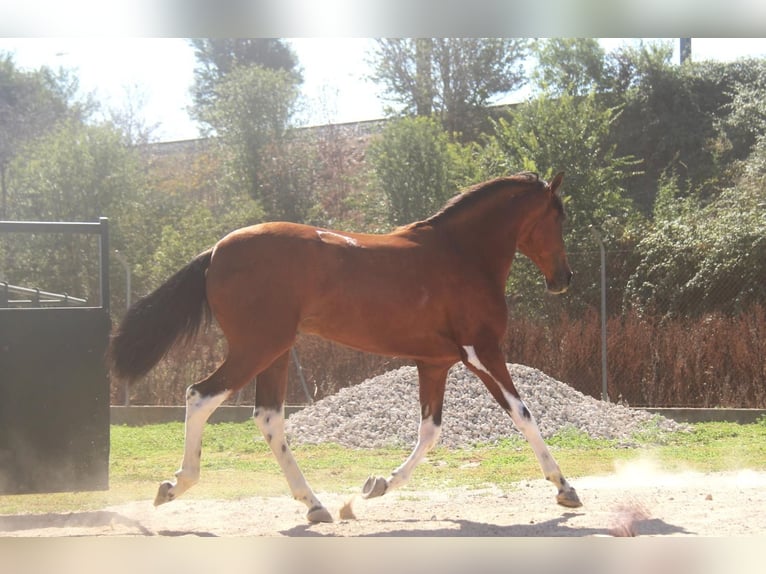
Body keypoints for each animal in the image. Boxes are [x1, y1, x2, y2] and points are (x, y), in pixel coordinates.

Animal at [109, 169, 584, 524]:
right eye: (557, 217)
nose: (564, 279)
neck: (462, 253)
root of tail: (216, 252)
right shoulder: (481, 351)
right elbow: (523, 414)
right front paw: (565, 488)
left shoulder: (434, 363)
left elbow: (430, 431)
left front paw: (374, 487)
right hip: (256, 348)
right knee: (200, 396)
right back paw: (175, 485)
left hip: (274, 352)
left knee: (268, 418)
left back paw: (315, 505)